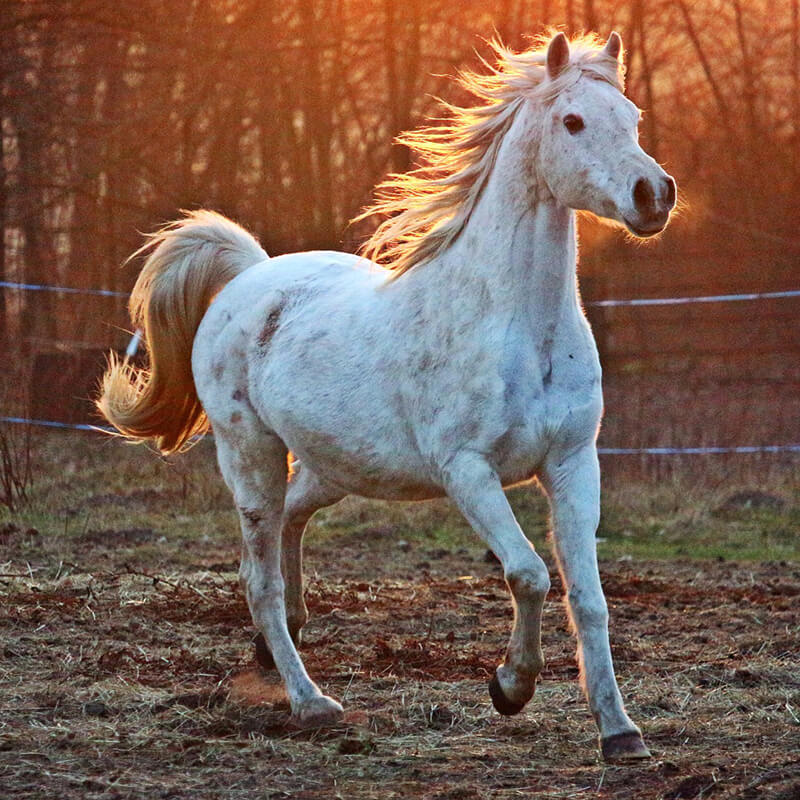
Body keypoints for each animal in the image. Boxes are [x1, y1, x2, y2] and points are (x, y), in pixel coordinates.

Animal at [98, 32, 676, 764]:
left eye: (632, 117)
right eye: (572, 121)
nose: (653, 194)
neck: (518, 325)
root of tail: (250, 276)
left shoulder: (573, 464)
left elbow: (590, 599)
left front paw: (620, 732)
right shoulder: (468, 472)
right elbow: (529, 574)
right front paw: (509, 687)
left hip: (335, 466)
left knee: (289, 524)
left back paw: (277, 645)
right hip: (250, 455)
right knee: (259, 576)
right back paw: (311, 701)